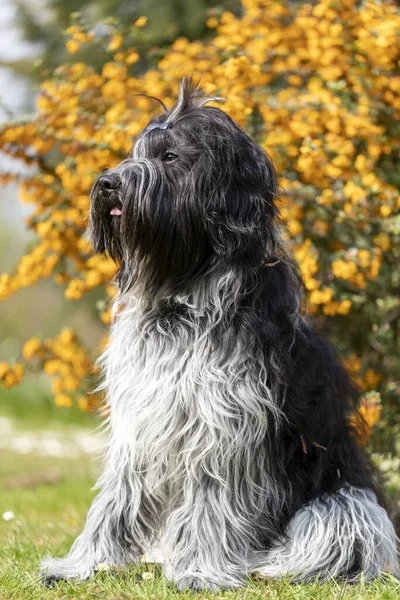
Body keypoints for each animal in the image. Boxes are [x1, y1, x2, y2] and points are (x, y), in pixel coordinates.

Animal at [39, 79, 396, 592]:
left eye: (170, 156)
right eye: (133, 153)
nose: (107, 183)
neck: (183, 296)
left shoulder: (225, 421)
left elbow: (214, 498)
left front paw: (199, 571)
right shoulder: (141, 415)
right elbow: (117, 498)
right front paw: (85, 564)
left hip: (346, 501)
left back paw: (265, 562)